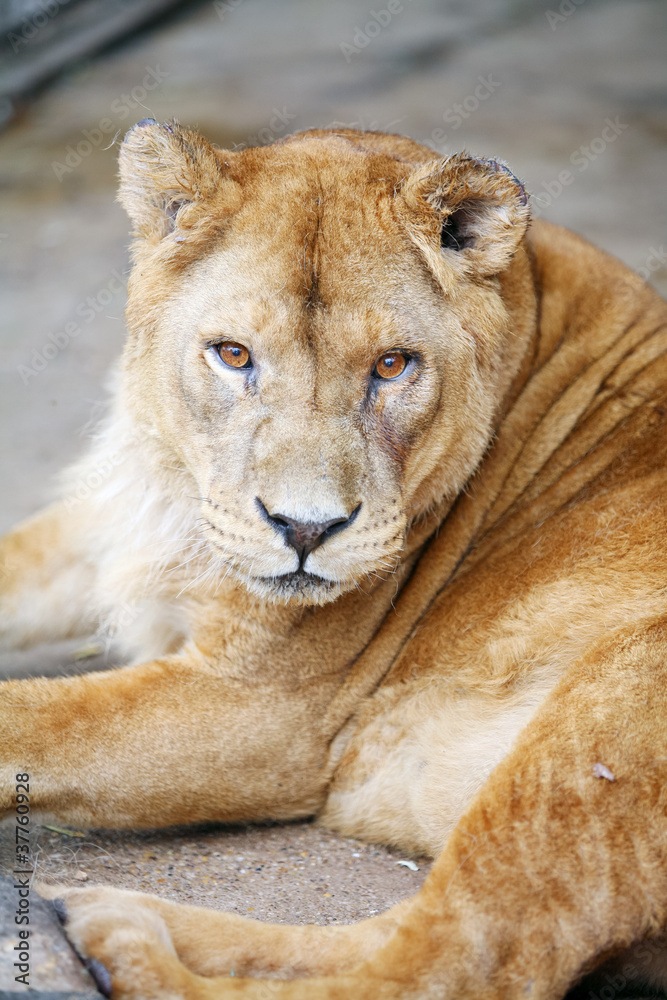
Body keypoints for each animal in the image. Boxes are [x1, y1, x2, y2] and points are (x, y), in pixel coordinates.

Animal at [1, 121, 667, 1000]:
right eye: (233, 355)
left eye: (391, 365)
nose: (305, 529)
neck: (178, 488)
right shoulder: (112, 526)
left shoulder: (265, 712)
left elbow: (28, 719)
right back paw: (111, 916)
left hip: (618, 697)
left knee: (447, 965)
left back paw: (118, 945)